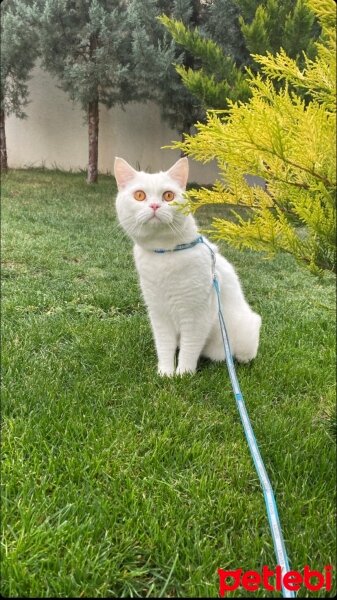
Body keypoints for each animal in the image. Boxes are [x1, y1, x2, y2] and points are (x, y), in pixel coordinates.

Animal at [113, 157, 260, 378]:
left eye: (168, 195)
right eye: (139, 195)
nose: (155, 205)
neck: (165, 254)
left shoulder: (196, 315)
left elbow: (190, 348)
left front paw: (183, 374)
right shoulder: (158, 313)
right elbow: (164, 346)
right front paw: (166, 373)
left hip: (247, 328)